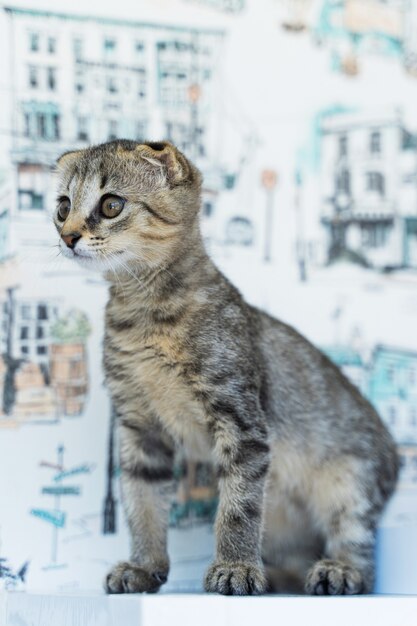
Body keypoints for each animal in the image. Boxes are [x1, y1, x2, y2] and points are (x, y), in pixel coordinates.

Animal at [53, 140, 398, 596]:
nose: (68, 235)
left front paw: (234, 568)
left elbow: (239, 505)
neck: (144, 314)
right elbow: (142, 502)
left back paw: (339, 570)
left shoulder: (241, 418)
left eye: (111, 205)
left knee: (361, 550)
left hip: (353, 483)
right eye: (62, 206)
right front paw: (144, 566)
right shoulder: (139, 426)